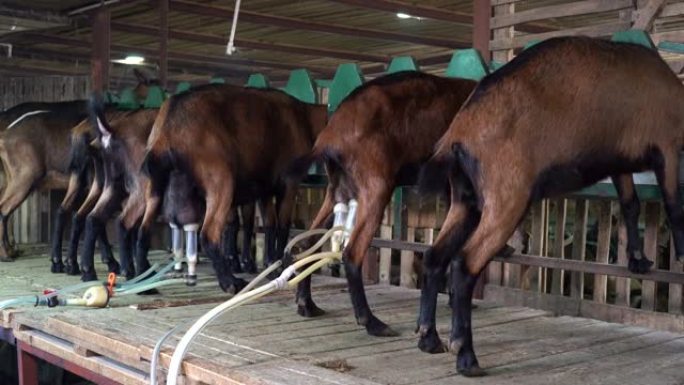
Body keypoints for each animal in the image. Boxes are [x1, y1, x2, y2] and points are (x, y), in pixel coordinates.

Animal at [140, 85, 328, 292]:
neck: (304, 117)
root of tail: (169, 126)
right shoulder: (289, 183)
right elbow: (282, 226)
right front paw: (281, 266)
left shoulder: (265, 190)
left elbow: (269, 224)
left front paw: (270, 264)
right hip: (221, 181)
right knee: (208, 234)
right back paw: (230, 282)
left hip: (154, 185)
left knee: (143, 230)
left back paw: (144, 282)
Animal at [296, 72, 478, 336]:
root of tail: (331, 135)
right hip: (376, 188)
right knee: (351, 253)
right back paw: (371, 322)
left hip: (338, 191)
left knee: (308, 241)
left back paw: (306, 304)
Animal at [420, 37, 684, 376]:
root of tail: (459, 132)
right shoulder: (666, 146)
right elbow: (674, 205)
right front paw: (681, 255)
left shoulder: (619, 161)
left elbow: (630, 204)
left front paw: (638, 260)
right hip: (507, 197)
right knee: (464, 263)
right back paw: (466, 355)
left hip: (465, 200)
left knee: (435, 256)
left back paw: (429, 339)